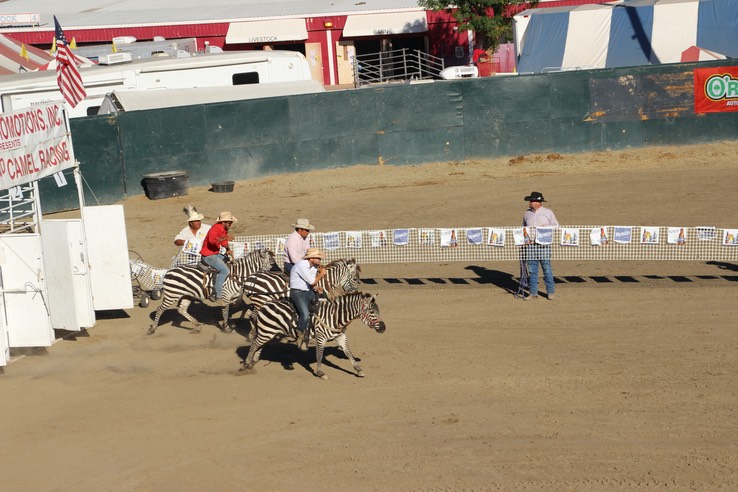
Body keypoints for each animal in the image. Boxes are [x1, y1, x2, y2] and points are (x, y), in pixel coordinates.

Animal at [147, 248, 276, 336]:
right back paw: (152, 329)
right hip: (171, 295)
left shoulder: (234, 297)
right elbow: (225, 311)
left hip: (186, 295)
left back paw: (197, 326)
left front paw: (237, 322)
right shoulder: (225, 296)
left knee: (181, 310)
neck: (237, 275)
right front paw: (226, 328)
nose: (277, 273)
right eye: (271, 263)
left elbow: (243, 307)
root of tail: (168, 272)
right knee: (160, 309)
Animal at [240, 292, 386, 380]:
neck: (335, 317)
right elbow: (319, 355)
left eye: (378, 310)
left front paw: (358, 370)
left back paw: (253, 362)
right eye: (372, 311)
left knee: (259, 345)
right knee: (254, 344)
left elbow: (349, 352)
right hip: (266, 331)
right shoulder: (321, 337)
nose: (383, 328)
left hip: (269, 332)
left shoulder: (340, 336)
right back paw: (246, 364)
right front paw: (320, 373)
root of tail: (265, 304)